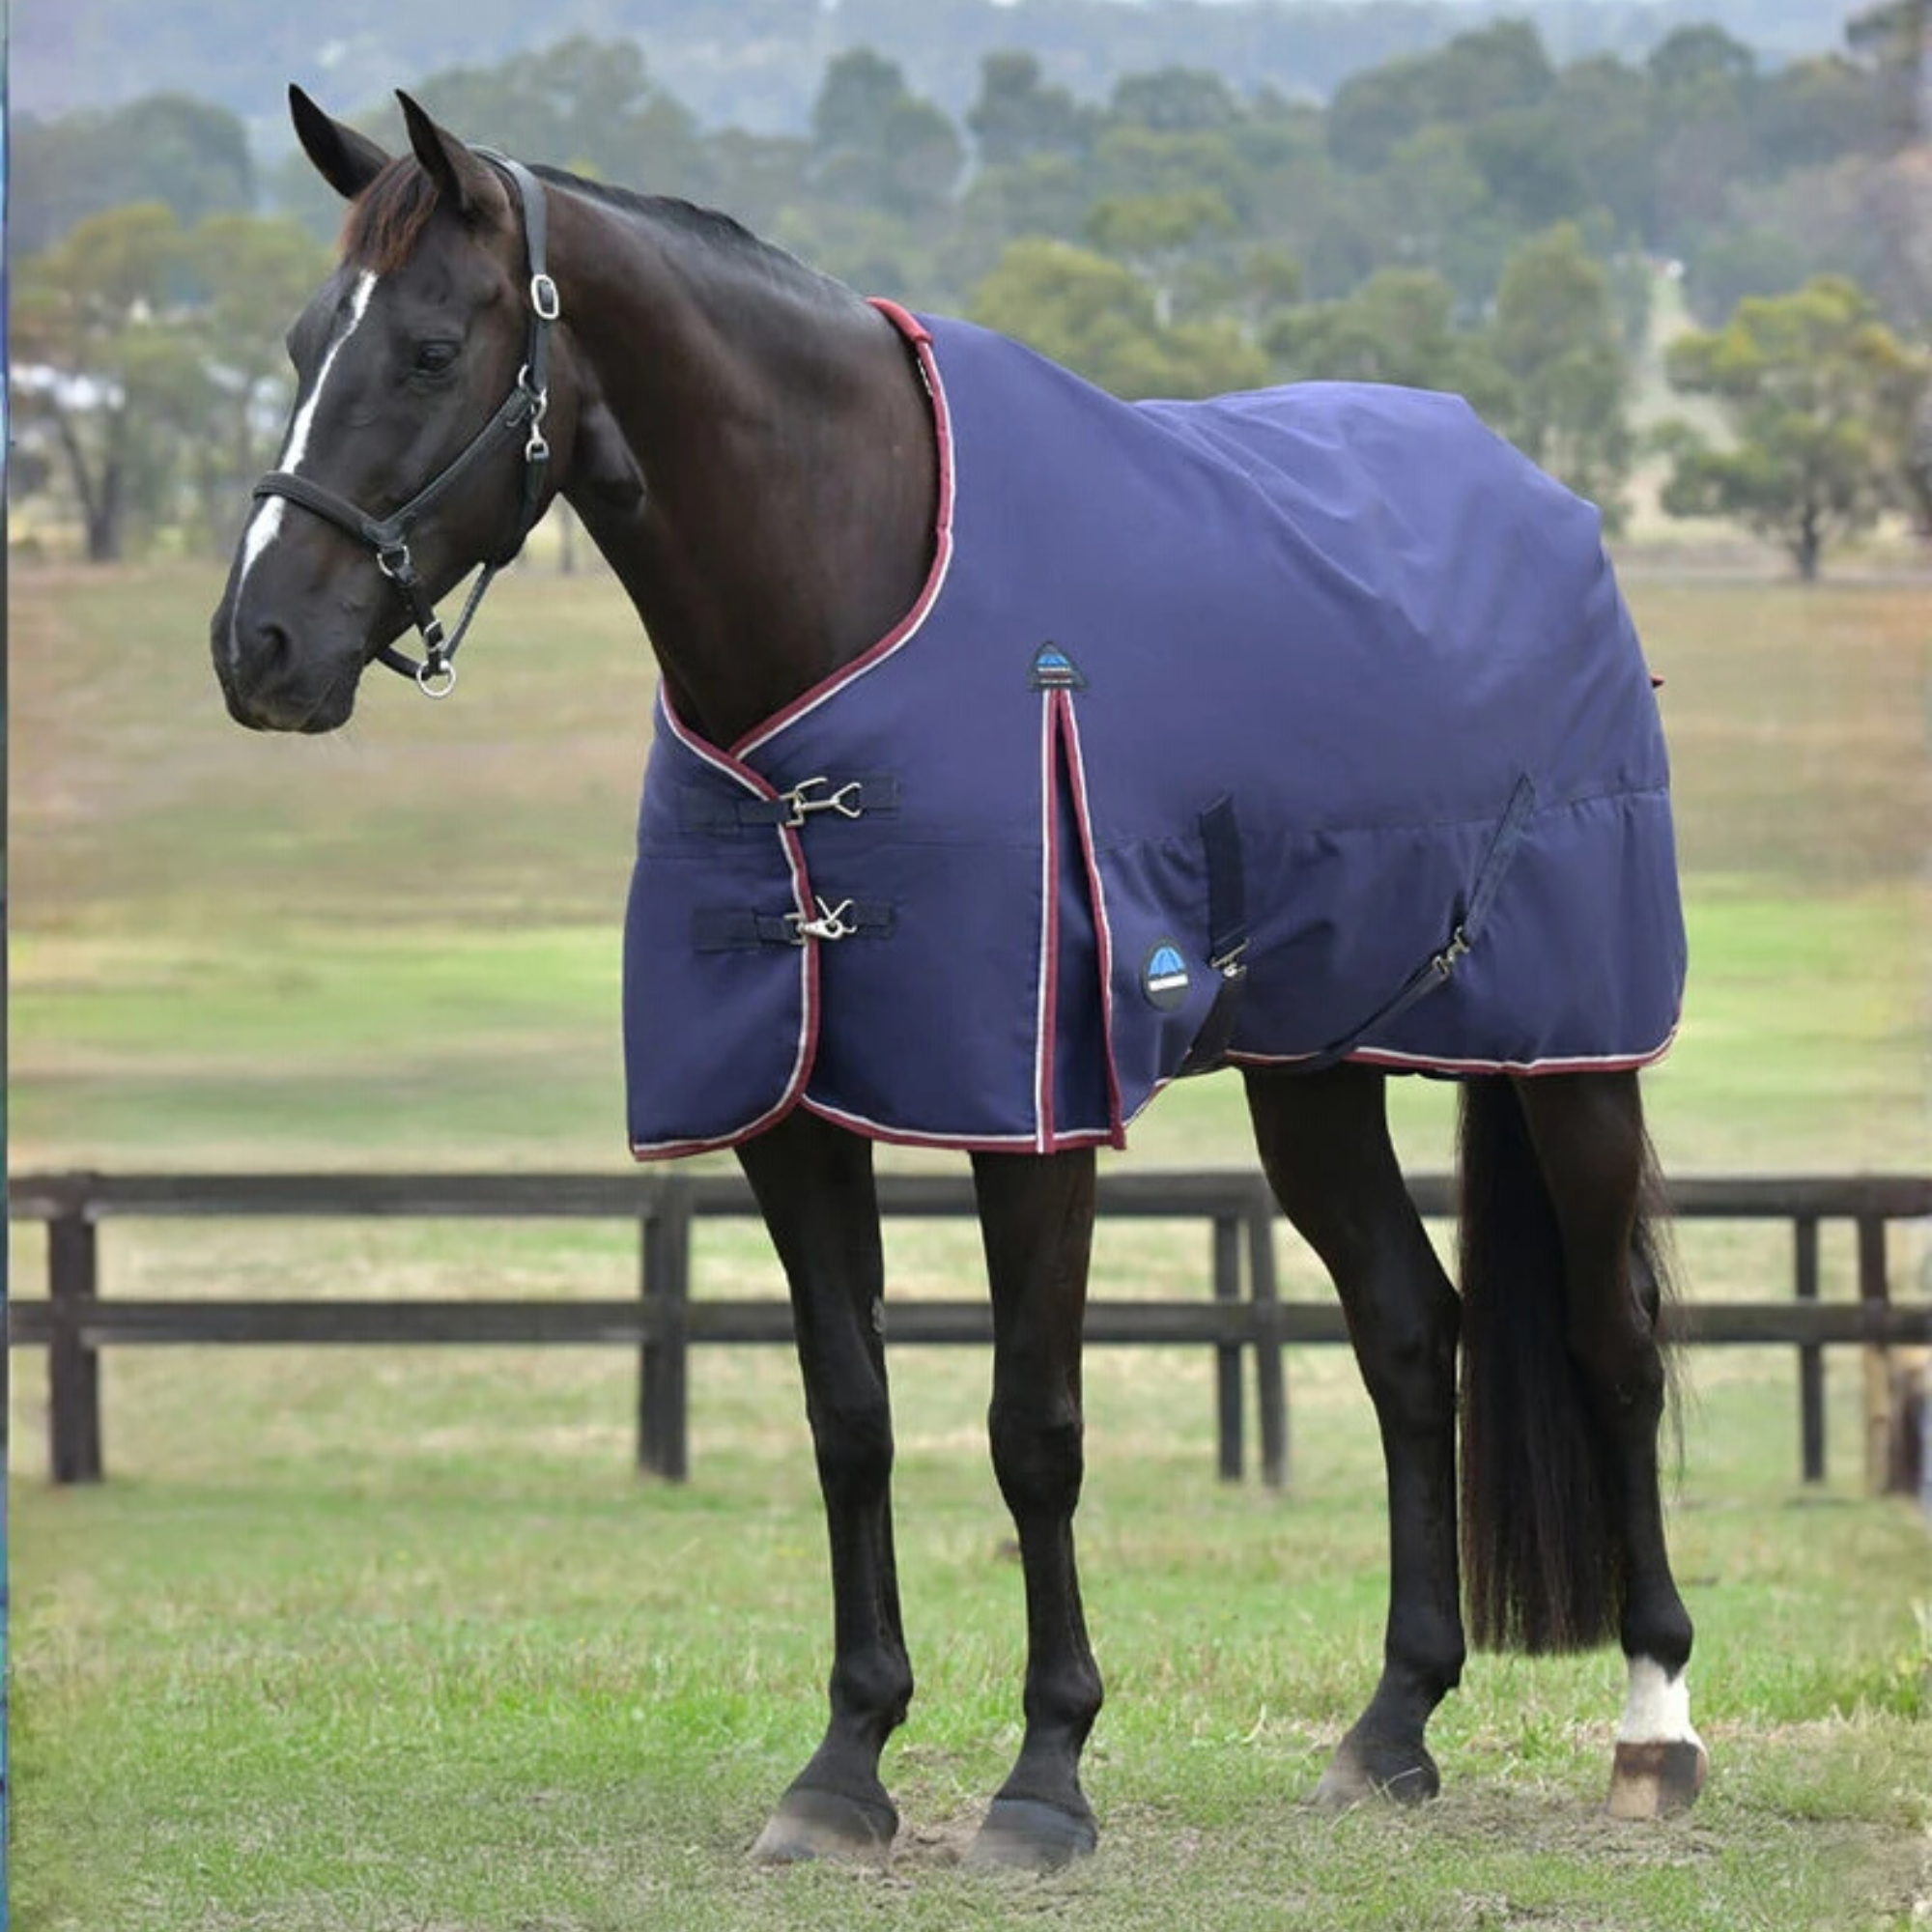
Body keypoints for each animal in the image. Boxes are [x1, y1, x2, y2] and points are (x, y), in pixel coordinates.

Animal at [210, 86, 1707, 1869]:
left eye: (431, 348)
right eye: (306, 340)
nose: (256, 648)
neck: (845, 604)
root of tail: (1543, 505)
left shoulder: (1031, 1111)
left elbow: (1031, 1428)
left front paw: (1045, 1774)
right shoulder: (787, 1114)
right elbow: (850, 1417)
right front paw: (844, 1764)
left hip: (1574, 1058)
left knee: (1614, 1338)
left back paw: (1656, 1729)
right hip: (1316, 1072)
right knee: (1412, 1335)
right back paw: (1391, 1727)